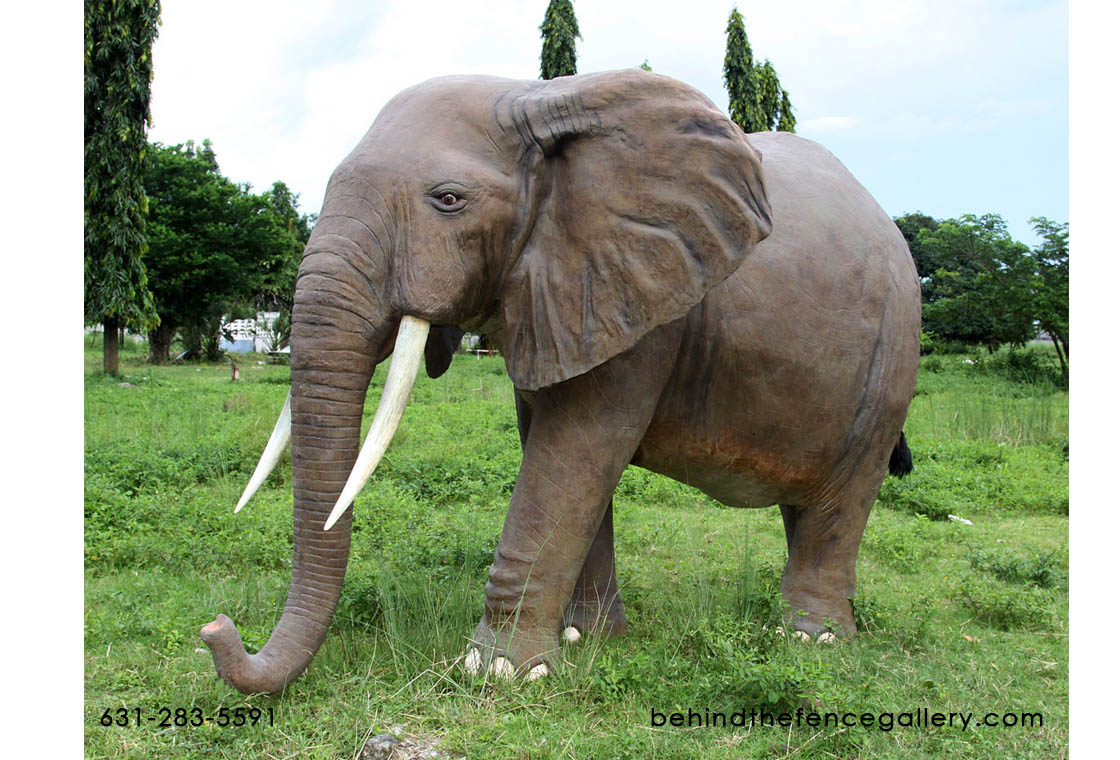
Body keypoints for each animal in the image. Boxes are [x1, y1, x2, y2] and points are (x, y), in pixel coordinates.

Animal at [200, 69, 920, 694]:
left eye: (449, 200)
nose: (217, 628)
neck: (534, 97)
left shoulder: (644, 302)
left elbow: (573, 452)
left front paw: (496, 674)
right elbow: (558, 452)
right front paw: (585, 642)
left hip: (893, 359)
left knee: (843, 498)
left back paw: (810, 640)